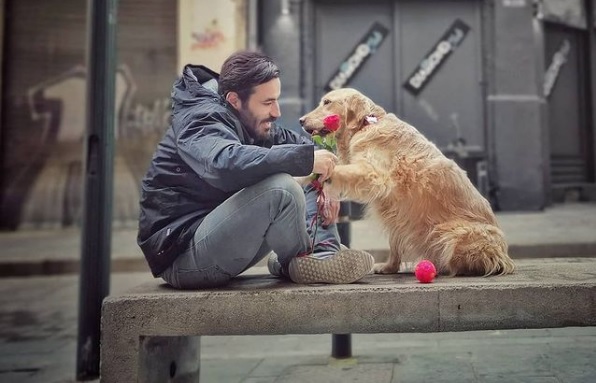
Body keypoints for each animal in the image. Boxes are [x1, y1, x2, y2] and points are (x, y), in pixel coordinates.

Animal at [300, 88, 516, 278]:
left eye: (327, 102)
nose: (300, 120)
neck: (366, 124)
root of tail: (505, 255)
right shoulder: (395, 211)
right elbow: (394, 242)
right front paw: (389, 267)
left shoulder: (373, 175)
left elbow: (336, 170)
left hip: (452, 232)